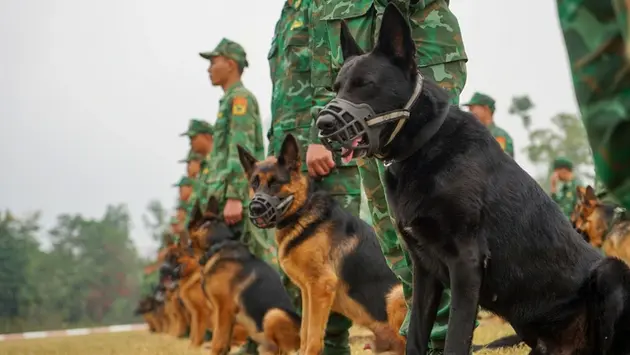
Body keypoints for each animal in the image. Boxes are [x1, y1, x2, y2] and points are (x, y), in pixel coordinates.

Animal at [238, 135, 410, 355]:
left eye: (275, 183)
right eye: (254, 183)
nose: (255, 208)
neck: (302, 213)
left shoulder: (320, 287)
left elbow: (312, 337)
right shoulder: (307, 292)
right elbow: (304, 334)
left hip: (395, 295)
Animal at [316, 4, 630, 354]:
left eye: (365, 84)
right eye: (337, 87)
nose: (323, 124)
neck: (425, 144)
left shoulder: (466, 263)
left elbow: (456, 335)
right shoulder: (423, 270)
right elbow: (415, 334)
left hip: (613, 271)